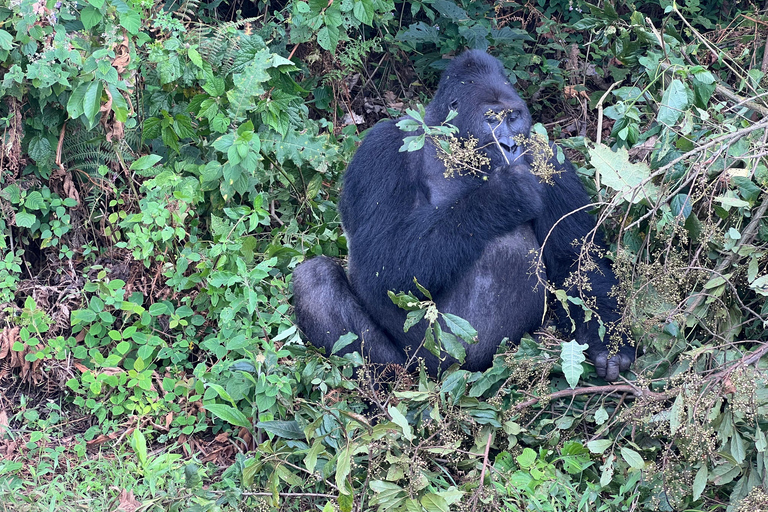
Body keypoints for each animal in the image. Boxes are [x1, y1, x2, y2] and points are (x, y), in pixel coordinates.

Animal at [292, 51, 632, 380]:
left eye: (513, 117)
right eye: (491, 119)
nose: (509, 145)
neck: (450, 146)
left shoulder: (547, 156)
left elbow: (575, 262)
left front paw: (609, 346)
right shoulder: (381, 148)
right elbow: (377, 263)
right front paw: (504, 196)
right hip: (417, 363)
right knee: (314, 278)